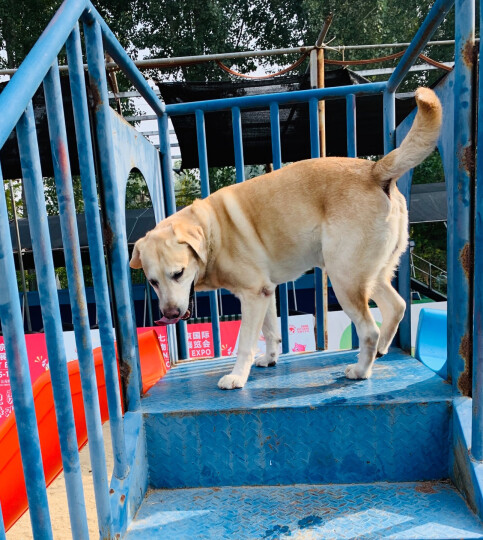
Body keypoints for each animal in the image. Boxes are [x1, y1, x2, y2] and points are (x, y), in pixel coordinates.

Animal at [131, 89, 442, 392]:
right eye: (153, 282)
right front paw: (269, 358)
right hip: (369, 274)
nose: (170, 314)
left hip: (344, 278)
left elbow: (245, 343)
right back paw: (380, 352)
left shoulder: (253, 295)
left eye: (178, 273)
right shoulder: (265, 292)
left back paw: (361, 371)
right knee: (397, 306)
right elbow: (271, 332)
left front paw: (237, 377)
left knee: (369, 330)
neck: (212, 231)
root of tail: (375, 170)